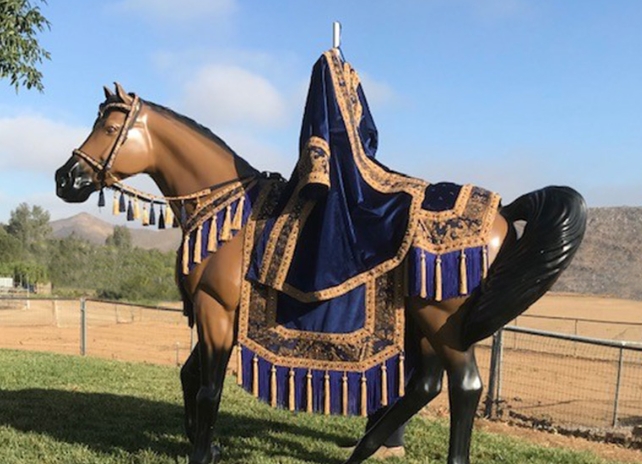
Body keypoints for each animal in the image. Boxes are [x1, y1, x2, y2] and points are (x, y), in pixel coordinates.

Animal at [55, 81, 584, 462]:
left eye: (110, 127)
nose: (65, 179)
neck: (227, 211)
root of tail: (503, 212)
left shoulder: (216, 310)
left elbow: (207, 388)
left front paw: (202, 452)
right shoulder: (212, 316)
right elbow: (190, 377)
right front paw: (204, 443)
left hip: (442, 321)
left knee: (464, 387)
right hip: (427, 323)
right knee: (427, 385)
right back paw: (362, 451)